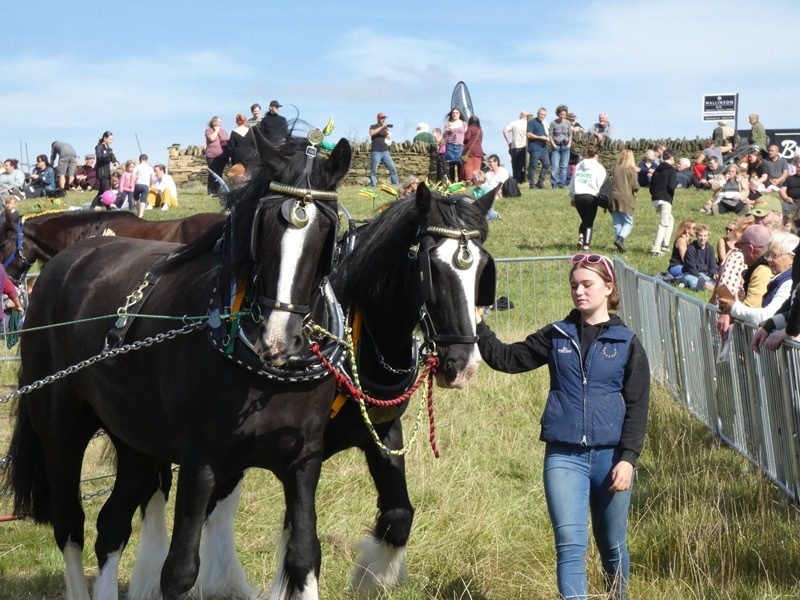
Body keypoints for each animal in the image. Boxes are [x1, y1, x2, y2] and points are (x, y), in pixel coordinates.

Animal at [3, 135, 352, 600]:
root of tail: (64, 264)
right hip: (61, 430)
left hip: (134, 439)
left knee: (110, 526)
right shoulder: (200, 464)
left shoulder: (303, 461)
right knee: (70, 525)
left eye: (327, 230)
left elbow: (303, 556)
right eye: (263, 227)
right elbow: (180, 571)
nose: (279, 339)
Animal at [127, 185, 496, 596]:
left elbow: (398, 514)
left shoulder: (379, 432)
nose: (463, 365)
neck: (359, 327)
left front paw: (372, 576)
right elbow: (295, 526)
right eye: (432, 267)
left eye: (483, 269)